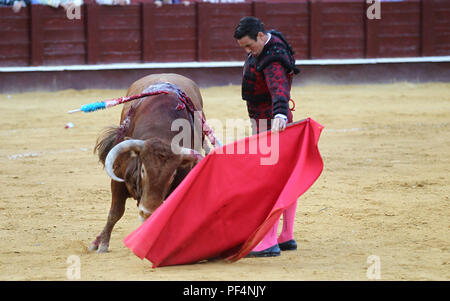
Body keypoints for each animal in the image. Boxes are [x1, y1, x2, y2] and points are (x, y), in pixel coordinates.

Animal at [87, 74, 206, 252]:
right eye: (143, 170)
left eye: (172, 176)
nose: (147, 212)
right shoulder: (117, 179)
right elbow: (115, 212)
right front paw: (101, 244)